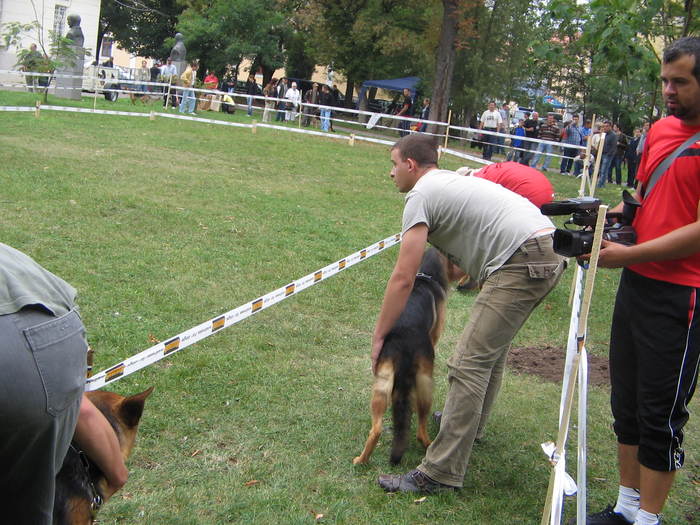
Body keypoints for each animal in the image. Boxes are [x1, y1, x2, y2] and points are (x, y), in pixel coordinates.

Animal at [356, 248, 448, 464]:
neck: (425, 276)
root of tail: (404, 341)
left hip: (383, 381)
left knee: (376, 429)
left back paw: (361, 460)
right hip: (424, 382)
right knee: (421, 430)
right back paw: (428, 445)